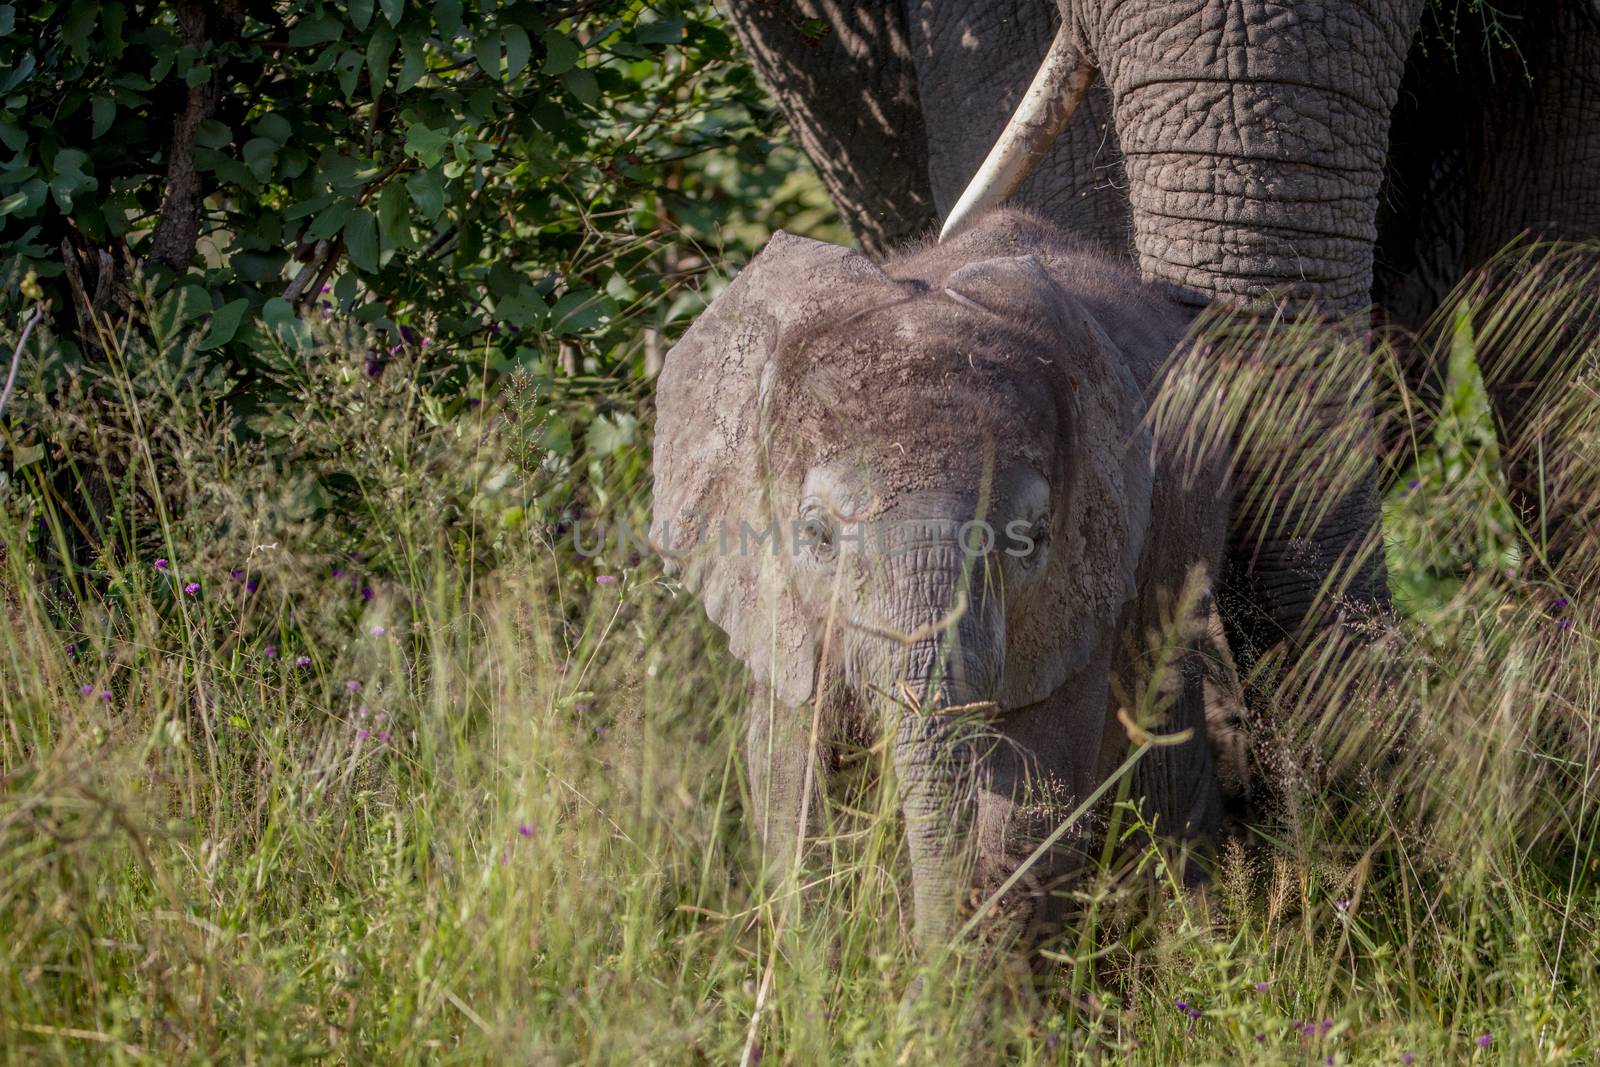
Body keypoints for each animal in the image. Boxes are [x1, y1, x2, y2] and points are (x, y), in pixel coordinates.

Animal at [649, 212, 1222, 947]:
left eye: (1032, 538)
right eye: (817, 536)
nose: (911, 948)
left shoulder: (1085, 583)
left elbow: (1035, 798)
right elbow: (788, 779)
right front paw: (817, 969)